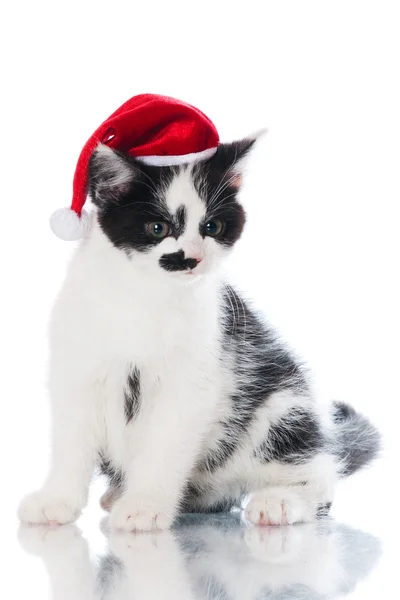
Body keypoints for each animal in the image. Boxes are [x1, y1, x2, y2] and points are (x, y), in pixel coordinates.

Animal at [17, 137, 380, 528]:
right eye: (158, 228)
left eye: (213, 226)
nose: (192, 258)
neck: (145, 296)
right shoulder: (77, 370)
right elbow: (71, 443)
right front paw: (56, 500)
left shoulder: (192, 382)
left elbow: (164, 446)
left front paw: (144, 507)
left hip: (283, 407)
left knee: (319, 474)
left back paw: (280, 501)